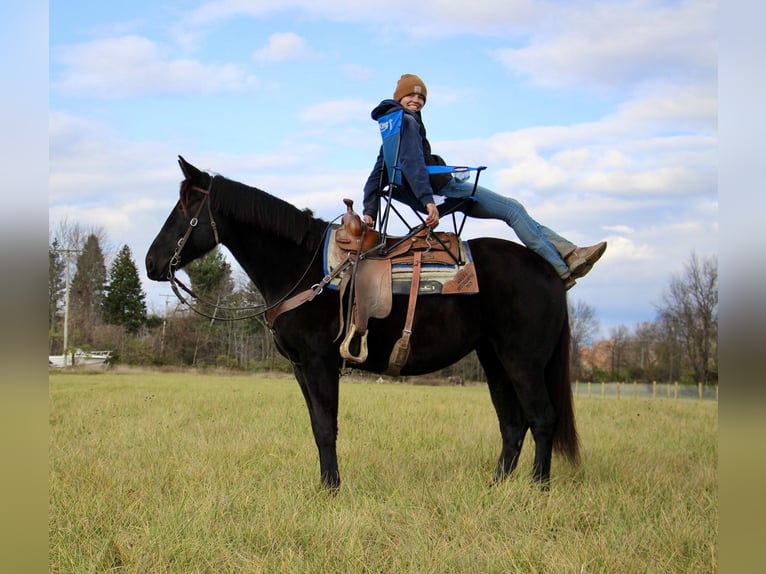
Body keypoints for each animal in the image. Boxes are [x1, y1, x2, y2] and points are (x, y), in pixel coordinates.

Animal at [146, 156, 584, 490]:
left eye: (184, 209)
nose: (151, 263)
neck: (301, 269)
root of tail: (550, 270)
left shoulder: (320, 362)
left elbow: (327, 426)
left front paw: (331, 490)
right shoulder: (301, 367)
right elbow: (317, 426)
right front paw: (326, 484)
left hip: (523, 361)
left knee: (542, 419)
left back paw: (538, 489)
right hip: (495, 361)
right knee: (513, 424)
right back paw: (496, 487)